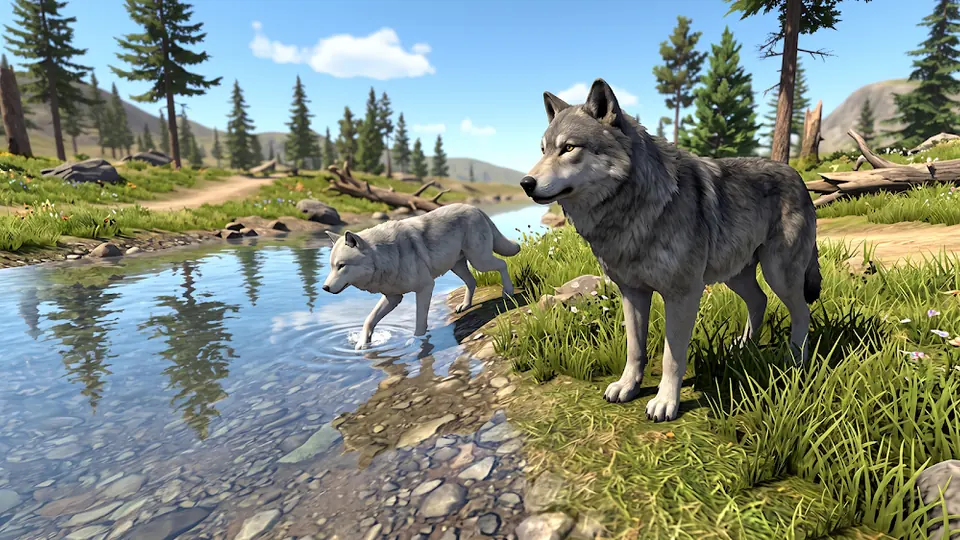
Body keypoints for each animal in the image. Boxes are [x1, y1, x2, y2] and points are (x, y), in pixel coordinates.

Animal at [322, 203, 521, 350]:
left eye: (341, 266)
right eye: (332, 267)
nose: (325, 288)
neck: (385, 255)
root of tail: (476, 208)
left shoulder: (425, 288)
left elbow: (419, 322)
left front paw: (417, 343)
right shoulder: (393, 297)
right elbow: (369, 319)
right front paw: (363, 344)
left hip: (479, 261)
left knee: (502, 264)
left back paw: (508, 292)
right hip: (457, 266)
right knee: (472, 281)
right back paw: (465, 305)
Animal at [520, 78, 821, 422]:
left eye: (568, 148)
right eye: (543, 150)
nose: (525, 183)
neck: (634, 209)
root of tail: (798, 177)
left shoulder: (682, 295)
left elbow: (671, 356)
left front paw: (666, 402)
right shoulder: (632, 293)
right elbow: (634, 348)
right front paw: (628, 386)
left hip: (778, 274)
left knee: (802, 312)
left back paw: (795, 360)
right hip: (735, 275)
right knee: (759, 302)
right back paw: (743, 347)